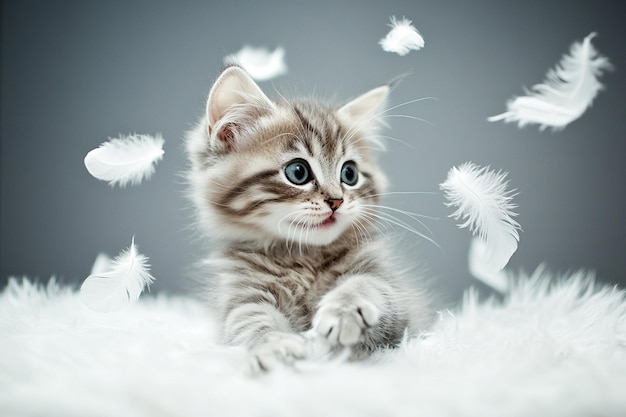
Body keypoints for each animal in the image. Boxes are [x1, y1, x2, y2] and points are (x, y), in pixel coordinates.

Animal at [185, 66, 434, 370]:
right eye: (298, 172)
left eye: (349, 174)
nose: (337, 201)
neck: (301, 257)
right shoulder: (241, 296)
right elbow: (250, 321)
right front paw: (275, 348)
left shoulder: (402, 299)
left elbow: (370, 285)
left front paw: (345, 309)